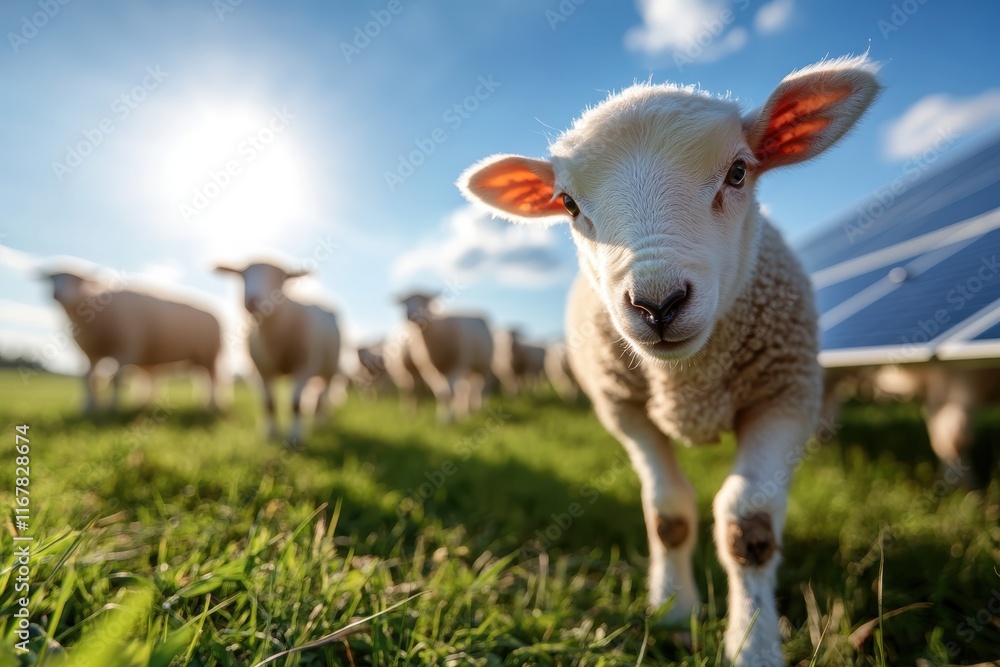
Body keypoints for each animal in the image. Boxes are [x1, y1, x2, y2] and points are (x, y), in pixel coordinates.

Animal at [43, 270, 222, 412]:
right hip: (197, 359)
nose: (56, 294)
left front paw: (112, 408)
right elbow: (89, 379)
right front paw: (89, 408)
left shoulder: (127, 348)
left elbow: (116, 379)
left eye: (76, 279)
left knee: (213, 380)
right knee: (201, 379)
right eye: (53, 279)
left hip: (209, 356)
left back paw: (213, 405)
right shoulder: (91, 353)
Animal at [214, 262, 340, 447]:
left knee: (323, 396)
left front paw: (295, 437)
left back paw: (319, 424)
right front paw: (270, 435)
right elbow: (269, 403)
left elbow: (295, 404)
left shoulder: (304, 366)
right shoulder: (262, 370)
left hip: (330, 368)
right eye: (243, 276)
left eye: (280, 278)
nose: (252, 301)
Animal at [396, 292, 493, 422]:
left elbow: (450, 392)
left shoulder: (456, 365)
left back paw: (478, 409)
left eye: (424, 301)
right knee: (467, 389)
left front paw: (449, 419)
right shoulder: (430, 370)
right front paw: (443, 418)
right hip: (468, 368)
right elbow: (441, 393)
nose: (411, 315)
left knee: (481, 387)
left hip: (483, 365)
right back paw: (465, 412)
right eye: (405, 303)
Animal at [459, 56, 880, 665]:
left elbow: (748, 526)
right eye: (568, 204)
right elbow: (669, 515)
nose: (658, 304)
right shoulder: (625, 410)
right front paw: (673, 611)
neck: (688, 381)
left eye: (738, 172)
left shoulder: (785, 397)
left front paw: (753, 645)